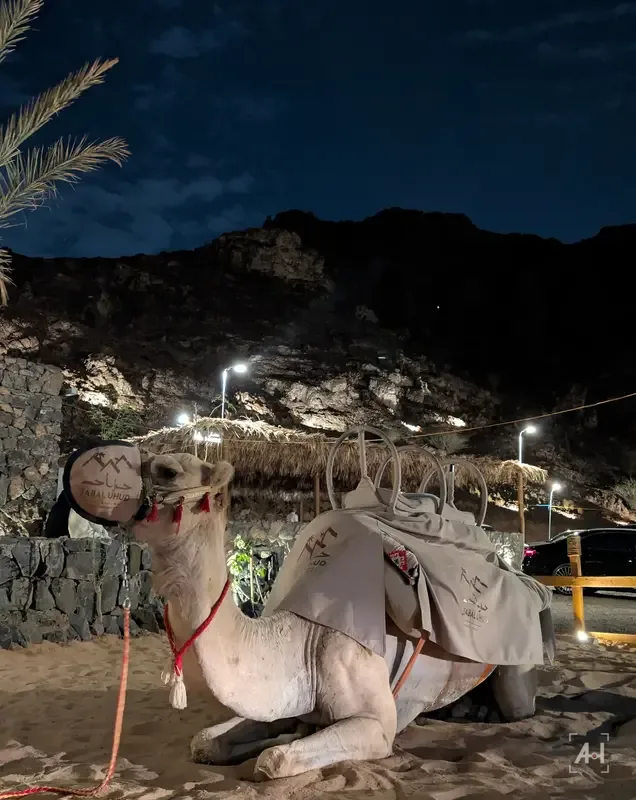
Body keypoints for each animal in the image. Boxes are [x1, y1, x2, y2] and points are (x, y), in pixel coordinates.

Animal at [132, 449, 542, 781]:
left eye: (167, 471)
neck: (303, 639)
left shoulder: (376, 722)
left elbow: (273, 761)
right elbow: (204, 741)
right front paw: (283, 734)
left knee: (520, 704)